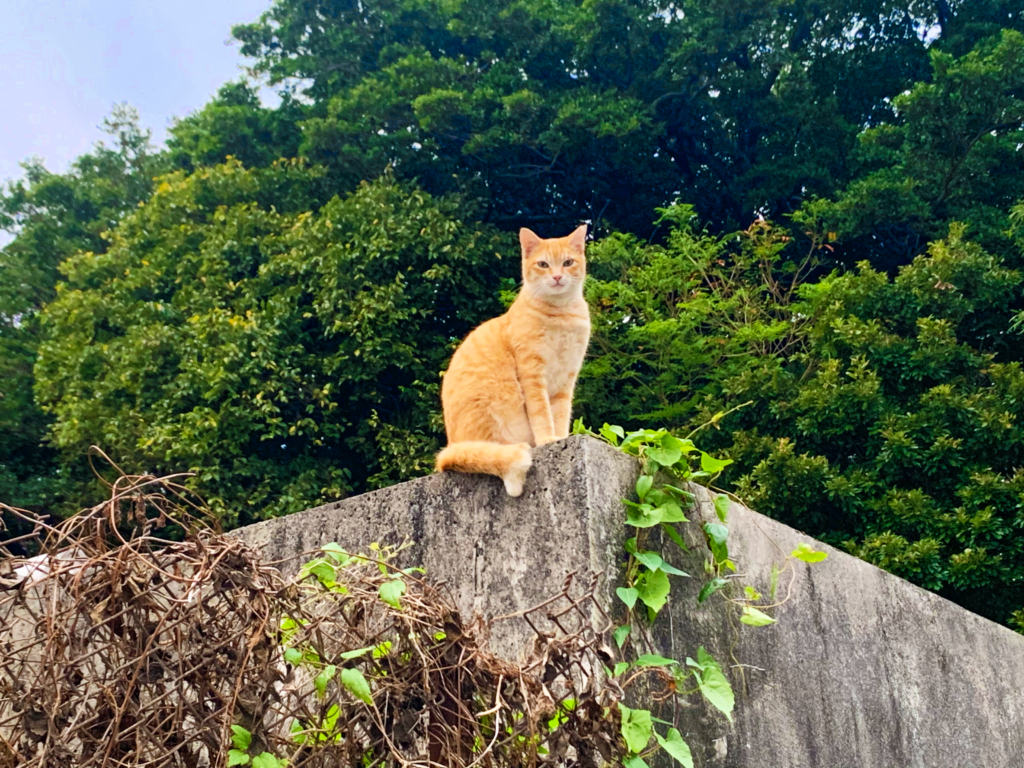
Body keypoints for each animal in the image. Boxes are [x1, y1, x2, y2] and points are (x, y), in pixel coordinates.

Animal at [434, 225, 593, 495]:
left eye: (568, 262)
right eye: (543, 264)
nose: (557, 277)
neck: (561, 313)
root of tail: (451, 448)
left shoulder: (566, 379)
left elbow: (561, 414)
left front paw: (561, 437)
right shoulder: (532, 374)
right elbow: (542, 414)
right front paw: (547, 439)